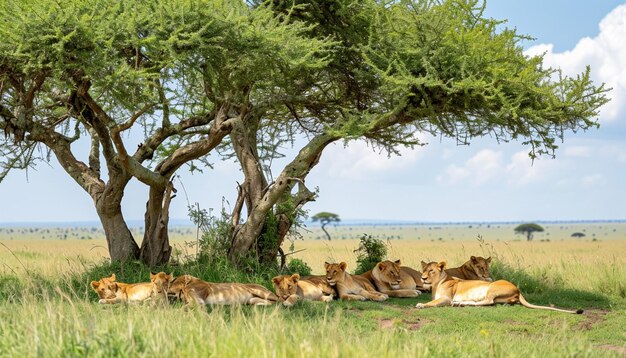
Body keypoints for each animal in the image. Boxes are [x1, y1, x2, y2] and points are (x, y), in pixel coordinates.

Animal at [414, 260, 580, 314]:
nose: (423, 278)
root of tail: (518, 289)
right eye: (423, 270)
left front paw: (421, 304)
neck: (436, 284)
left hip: (492, 287)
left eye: (431, 270)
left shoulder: (446, 298)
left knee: (488, 302)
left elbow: (433, 302)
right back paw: (461, 303)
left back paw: (460, 303)